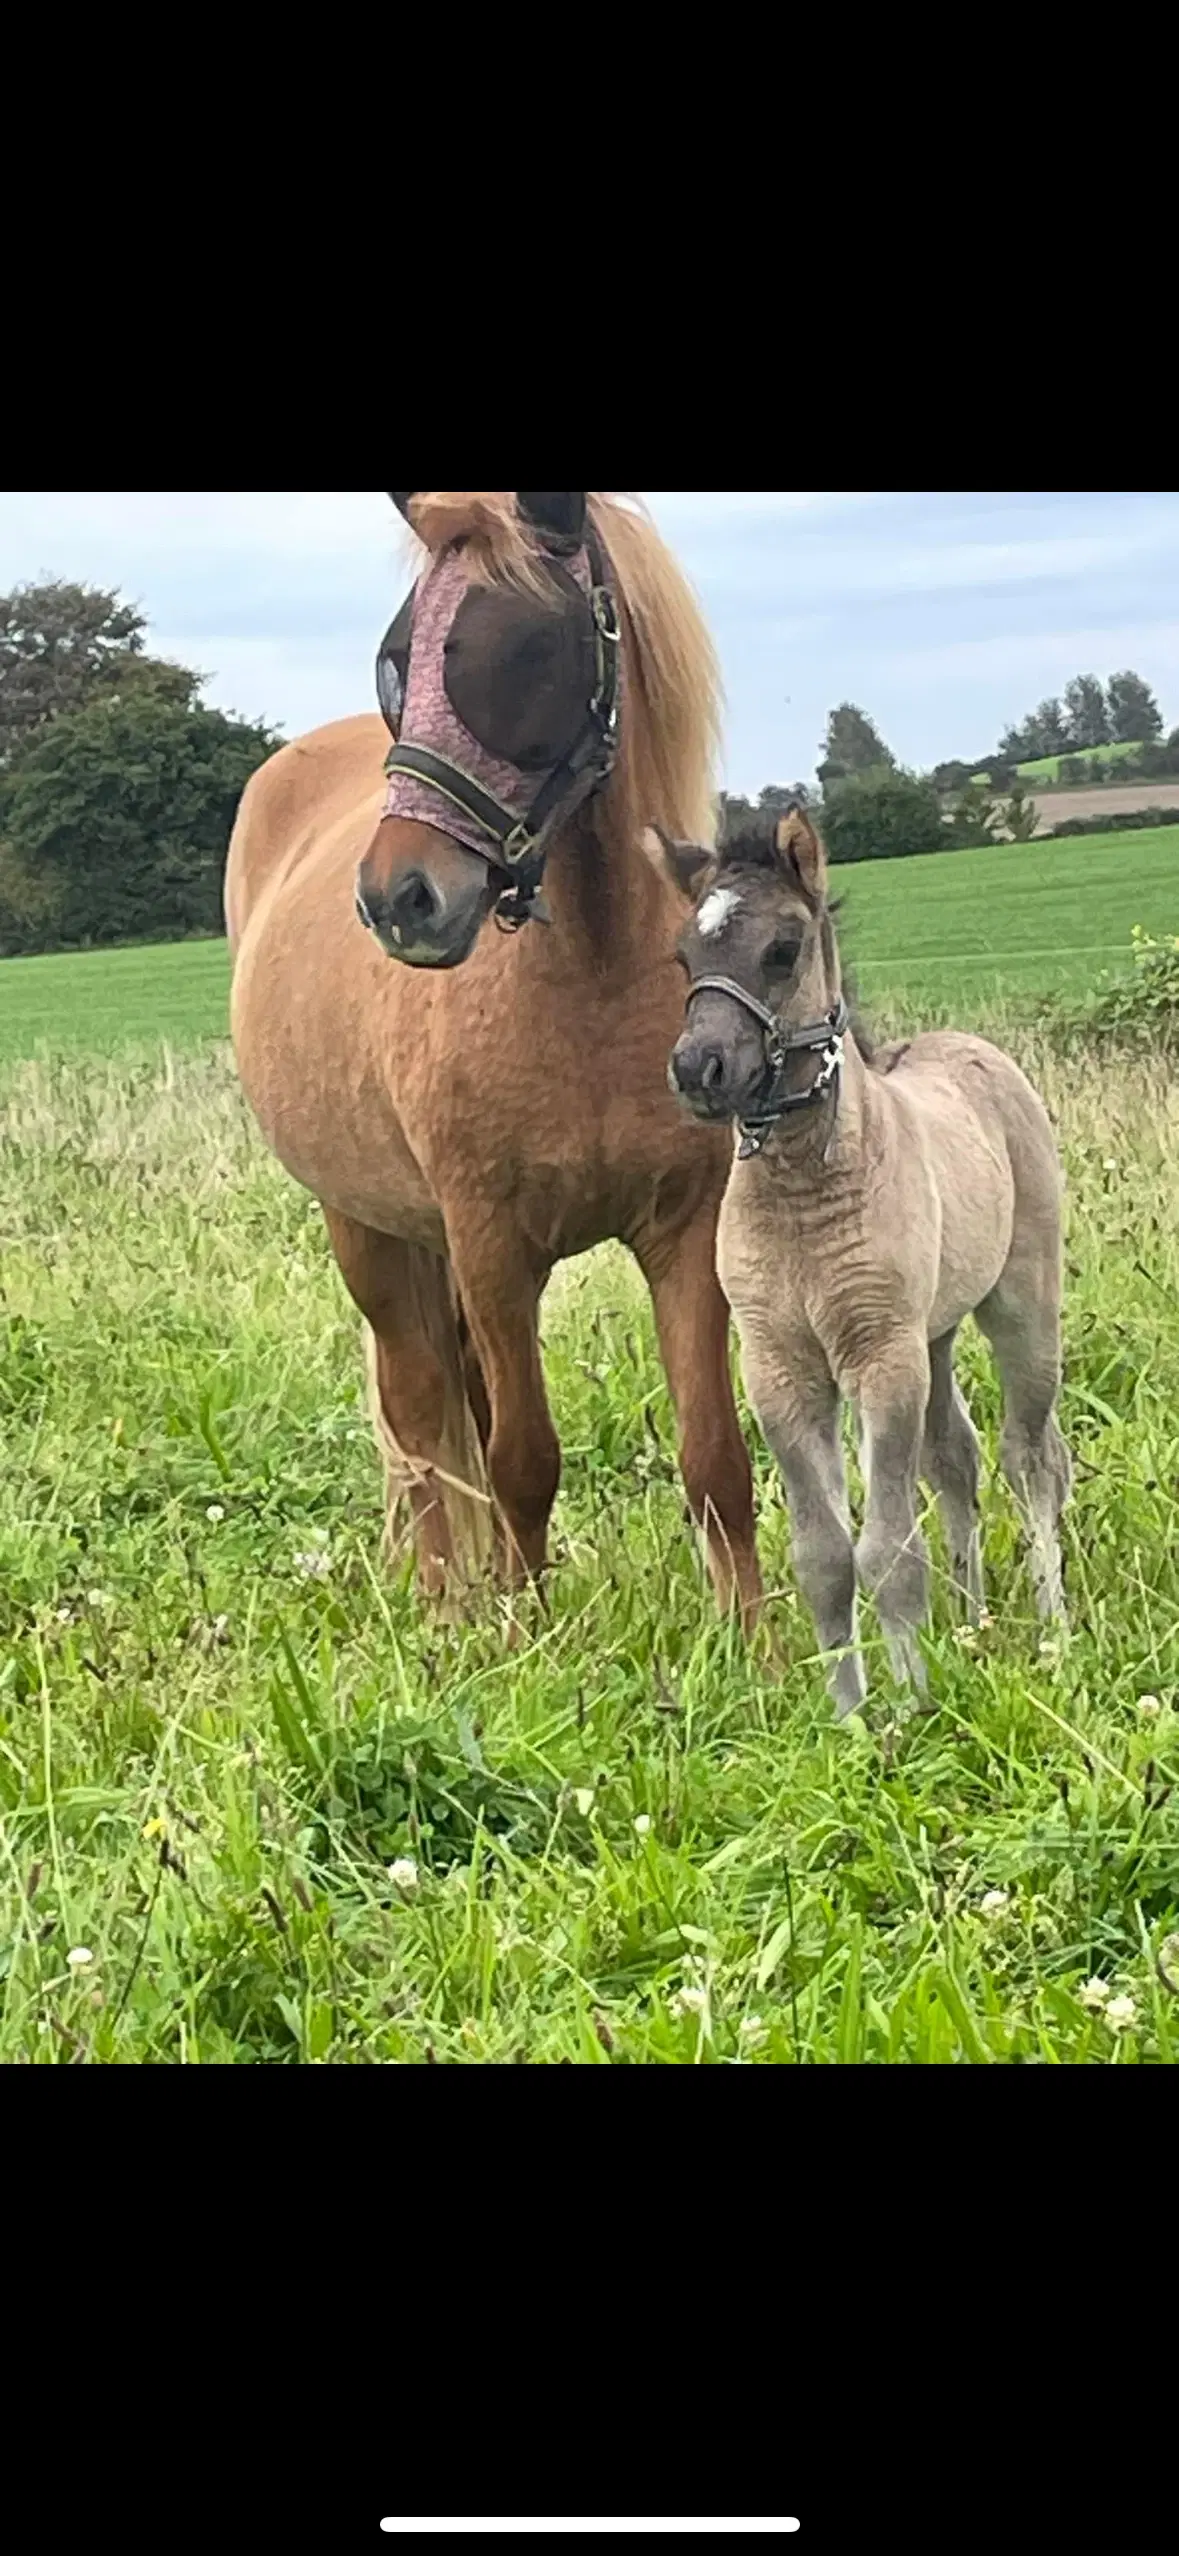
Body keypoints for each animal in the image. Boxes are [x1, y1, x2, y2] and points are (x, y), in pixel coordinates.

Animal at [227, 483, 762, 1615]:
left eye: (525, 647)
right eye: (395, 659)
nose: (400, 897)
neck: (589, 986)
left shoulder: (685, 1237)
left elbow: (715, 1460)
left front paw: (764, 1641)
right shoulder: (490, 1245)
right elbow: (521, 1461)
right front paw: (530, 1637)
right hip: (364, 1229)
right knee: (418, 1408)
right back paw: (443, 1601)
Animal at [654, 807, 1069, 1707]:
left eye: (783, 948)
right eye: (682, 956)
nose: (697, 1068)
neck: (802, 1202)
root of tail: (973, 1048)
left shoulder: (879, 1357)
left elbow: (886, 1547)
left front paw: (909, 1704)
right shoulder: (779, 1371)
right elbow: (822, 1557)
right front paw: (847, 1713)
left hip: (1019, 1307)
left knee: (1029, 1459)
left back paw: (1053, 1628)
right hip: (935, 1334)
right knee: (956, 1460)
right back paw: (973, 1622)